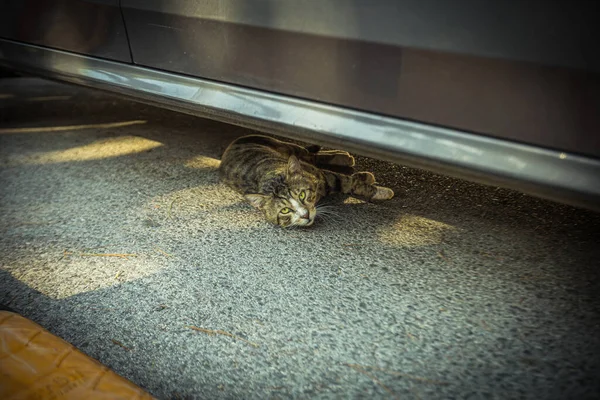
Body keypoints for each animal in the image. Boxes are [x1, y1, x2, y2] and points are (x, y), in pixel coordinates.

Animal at [219, 135, 394, 227]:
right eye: (285, 210)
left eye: (302, 195)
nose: (305, 215)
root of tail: (236, 140)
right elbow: (349, 182)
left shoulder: (325, 177)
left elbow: (349, 182)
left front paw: (381, 192)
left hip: (288, 147)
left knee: (310, 154)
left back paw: (345, 157)